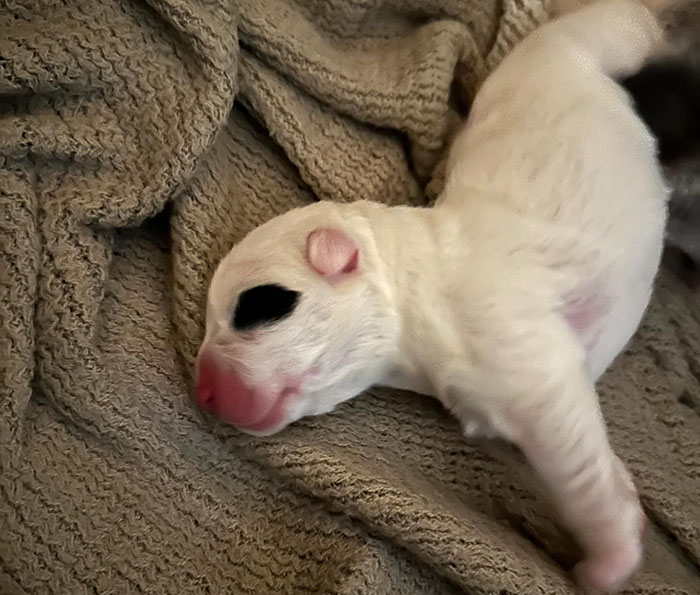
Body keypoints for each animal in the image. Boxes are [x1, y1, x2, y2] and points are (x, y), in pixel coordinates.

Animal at [198, 1, 684, 592]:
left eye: (256, 308)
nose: (201, 392)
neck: (417, 285)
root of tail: (551, 47)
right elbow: (599, 467)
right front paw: (626, 498)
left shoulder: (535, 375)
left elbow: (577, 470)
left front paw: (607, 562)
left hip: (599, 41)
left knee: (632, 27)